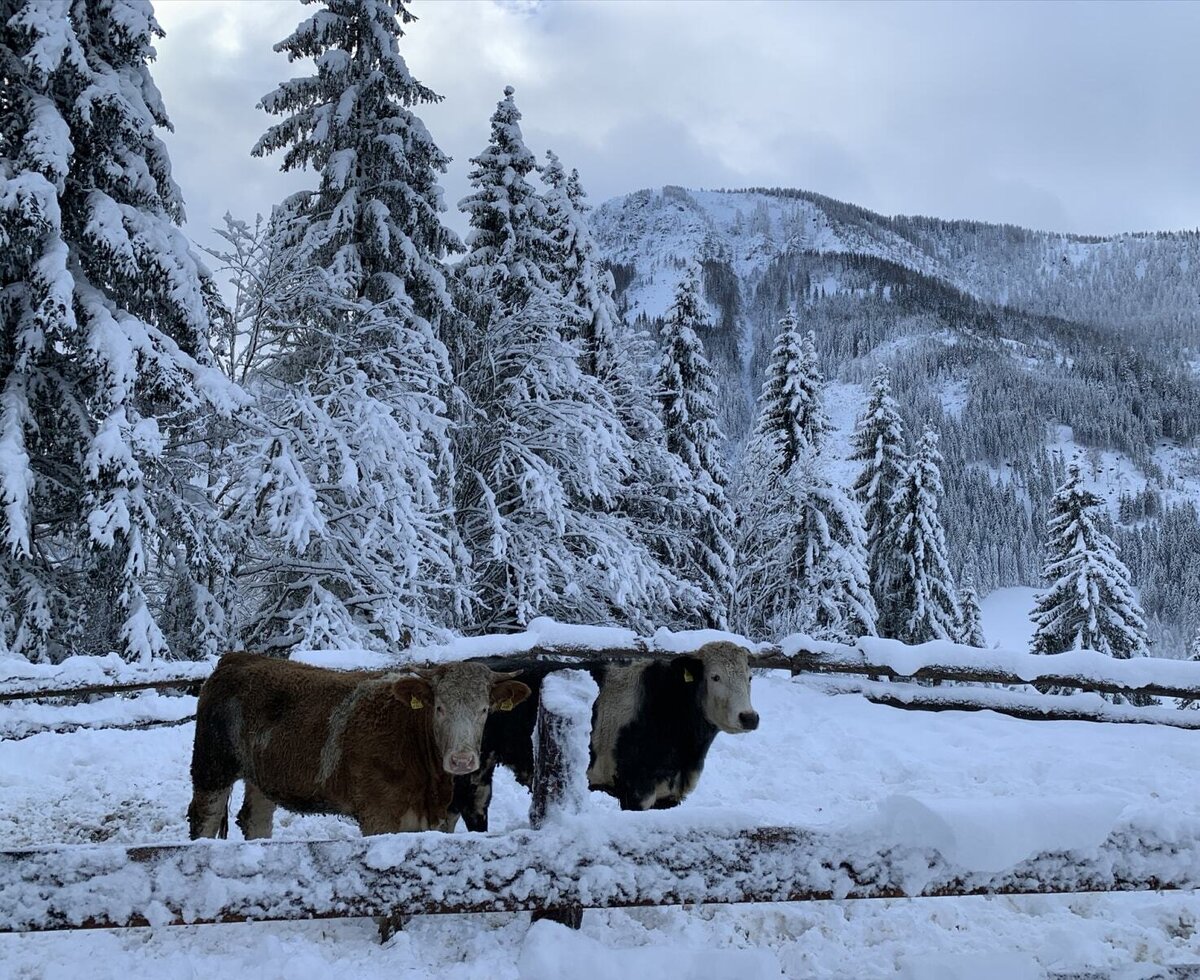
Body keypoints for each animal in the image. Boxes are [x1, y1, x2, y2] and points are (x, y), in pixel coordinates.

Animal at [187, 653, 531, 840]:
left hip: (262, 776)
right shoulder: (379, 816)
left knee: (255, 819)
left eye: (484, 709)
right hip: (211, 766)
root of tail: (239, 657)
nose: (461, 760)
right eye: (439, 708)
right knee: (203, 819)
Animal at [447, 641, 758, 830]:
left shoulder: (667, 795)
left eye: (749, 677)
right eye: (715, 677)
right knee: (471, 809)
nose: (749, 717)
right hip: (473, 770)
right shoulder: (637, 790)